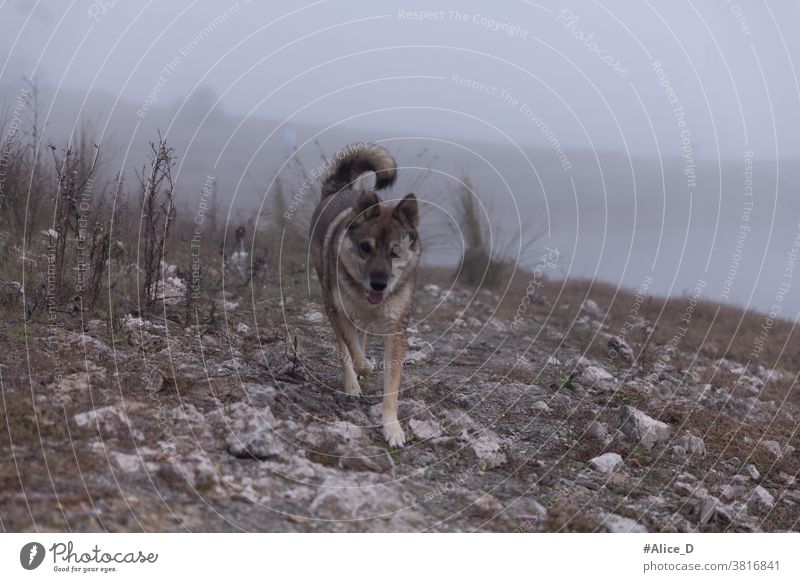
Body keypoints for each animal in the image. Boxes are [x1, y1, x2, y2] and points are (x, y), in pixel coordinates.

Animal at [310, 144, 424, 450]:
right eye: (365, 247)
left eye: (396, 252)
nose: (378, 284)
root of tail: (340, 189)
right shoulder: (339, 311)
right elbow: (355, 354)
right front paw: (365, 369)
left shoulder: (395, 330)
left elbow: (391, 389)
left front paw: (392, 429)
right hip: (331, 302)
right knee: (345, 349)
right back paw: (352, 385)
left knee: (361, 333)